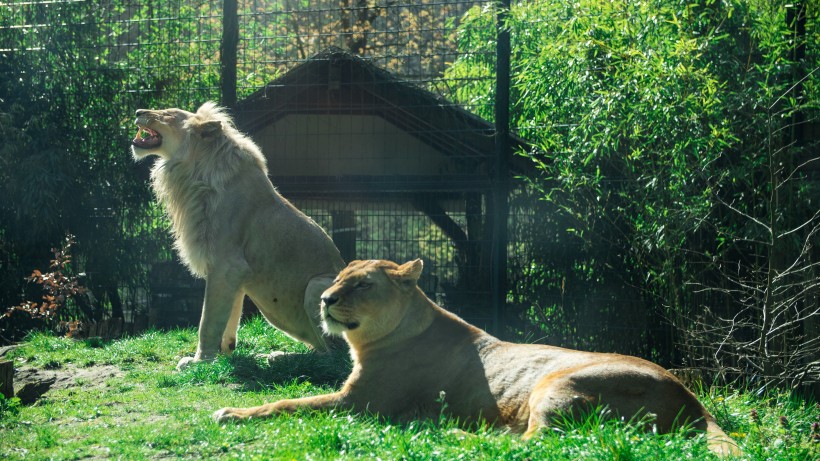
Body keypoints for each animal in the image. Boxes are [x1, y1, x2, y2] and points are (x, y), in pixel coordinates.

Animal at [131, 102, 346, 368]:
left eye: (168, 114)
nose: (138, 111)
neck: (192, 171)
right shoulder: (232, 273)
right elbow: (228, 318)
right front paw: (224, 356)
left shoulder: (226, 264)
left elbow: (207, 320)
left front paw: (200, 361)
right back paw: (275, 356)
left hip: (317, 287)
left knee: (335, 357)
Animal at [215, 256, 740, 454]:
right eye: (341, 276)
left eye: (362, 284)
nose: (326, 299)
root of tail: (693, 401)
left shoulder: (359, 404)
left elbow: (287, 403)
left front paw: (230, 412)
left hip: (558, 383)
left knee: (536, 445)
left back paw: (449, 432)